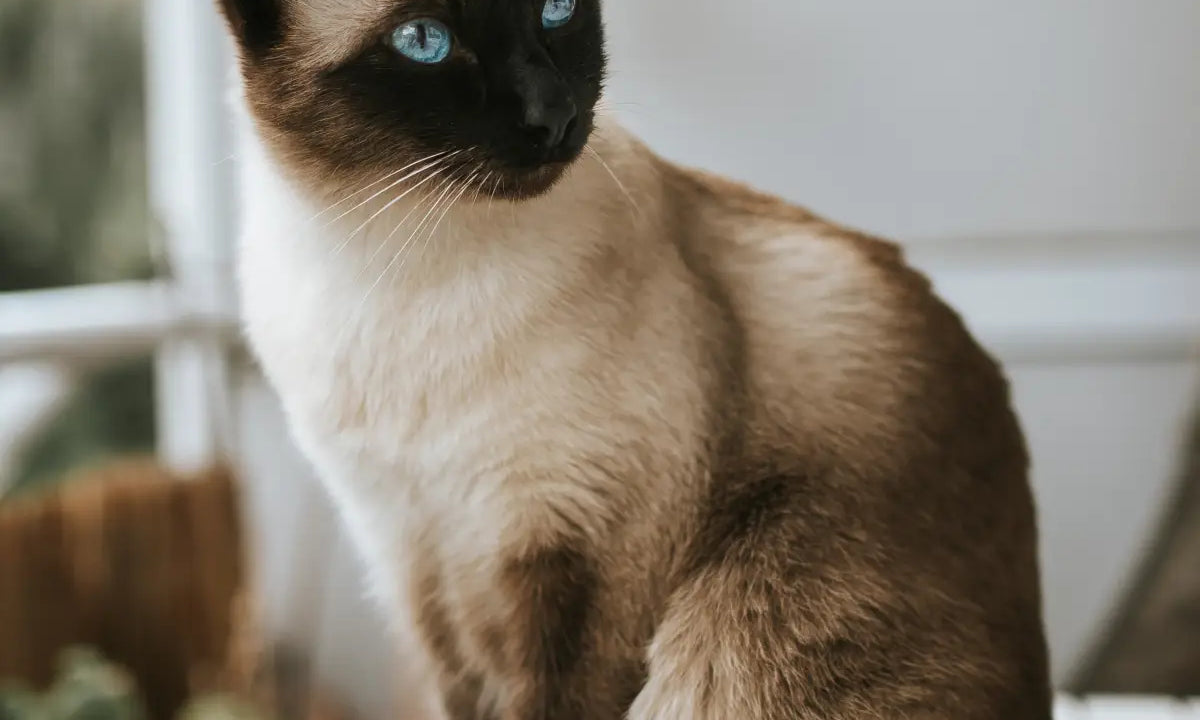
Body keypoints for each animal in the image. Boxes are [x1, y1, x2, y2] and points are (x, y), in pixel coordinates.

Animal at [213, 0, 1051, 715]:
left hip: (744, 624)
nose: (552, 115)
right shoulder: (416, 560)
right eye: (424, 40)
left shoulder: (585, 550)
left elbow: (559, 700)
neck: (395, 261)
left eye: (556, 10)